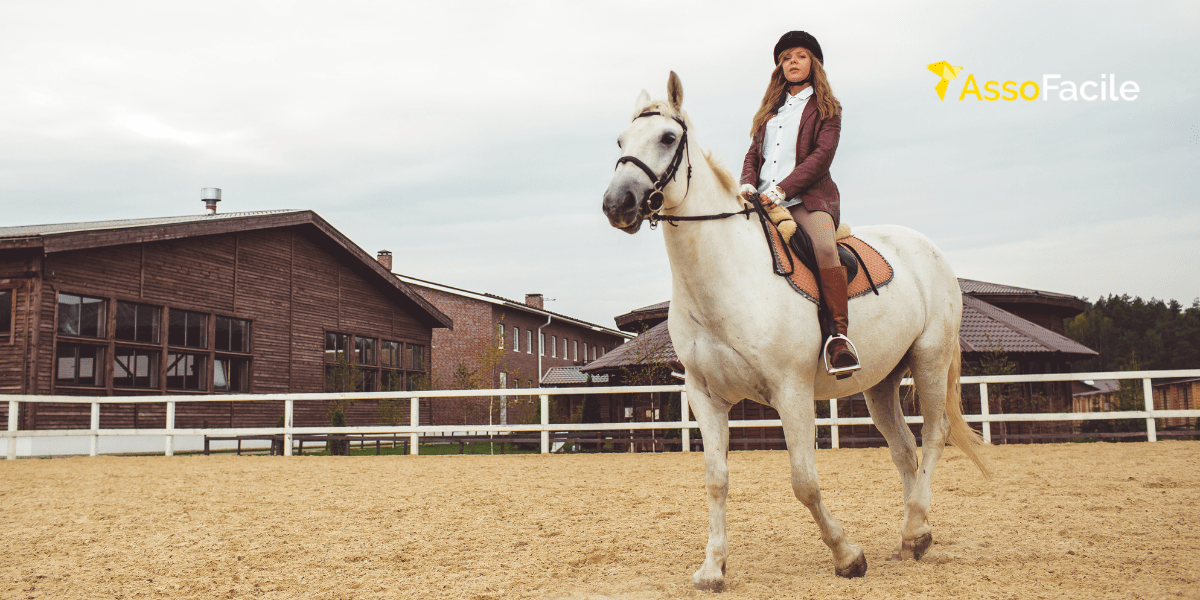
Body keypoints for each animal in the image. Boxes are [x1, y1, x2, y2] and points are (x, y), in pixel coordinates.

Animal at [604, 71, 988, 590]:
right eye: (620, 141)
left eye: (667, 138)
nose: (616, 204)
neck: (726, 275)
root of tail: (927, 248)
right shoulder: (705, 397)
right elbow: (716, 480)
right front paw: (713, 567)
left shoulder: (792, 392)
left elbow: (804, 482)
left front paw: (847, 556)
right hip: (880, 382)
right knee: (903, 448)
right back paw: (913, 534)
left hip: (929, 359)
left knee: (933, 435)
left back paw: (915, 530)